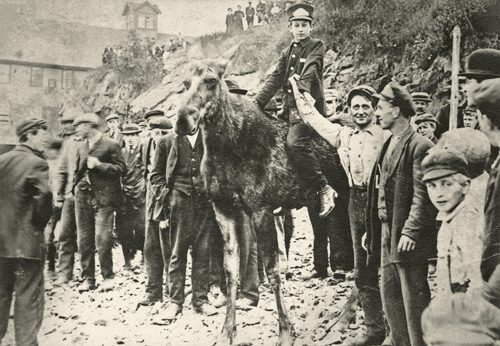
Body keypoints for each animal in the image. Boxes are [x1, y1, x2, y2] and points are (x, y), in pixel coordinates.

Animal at [176, 57, 348, 346]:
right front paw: (227, 331)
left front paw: (286, 331)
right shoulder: (223, 209)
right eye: (185, 83)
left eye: (211, 80)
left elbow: (272, 270)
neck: (225, 149)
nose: (182, 120)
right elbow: (231, 271)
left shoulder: (261, 208)